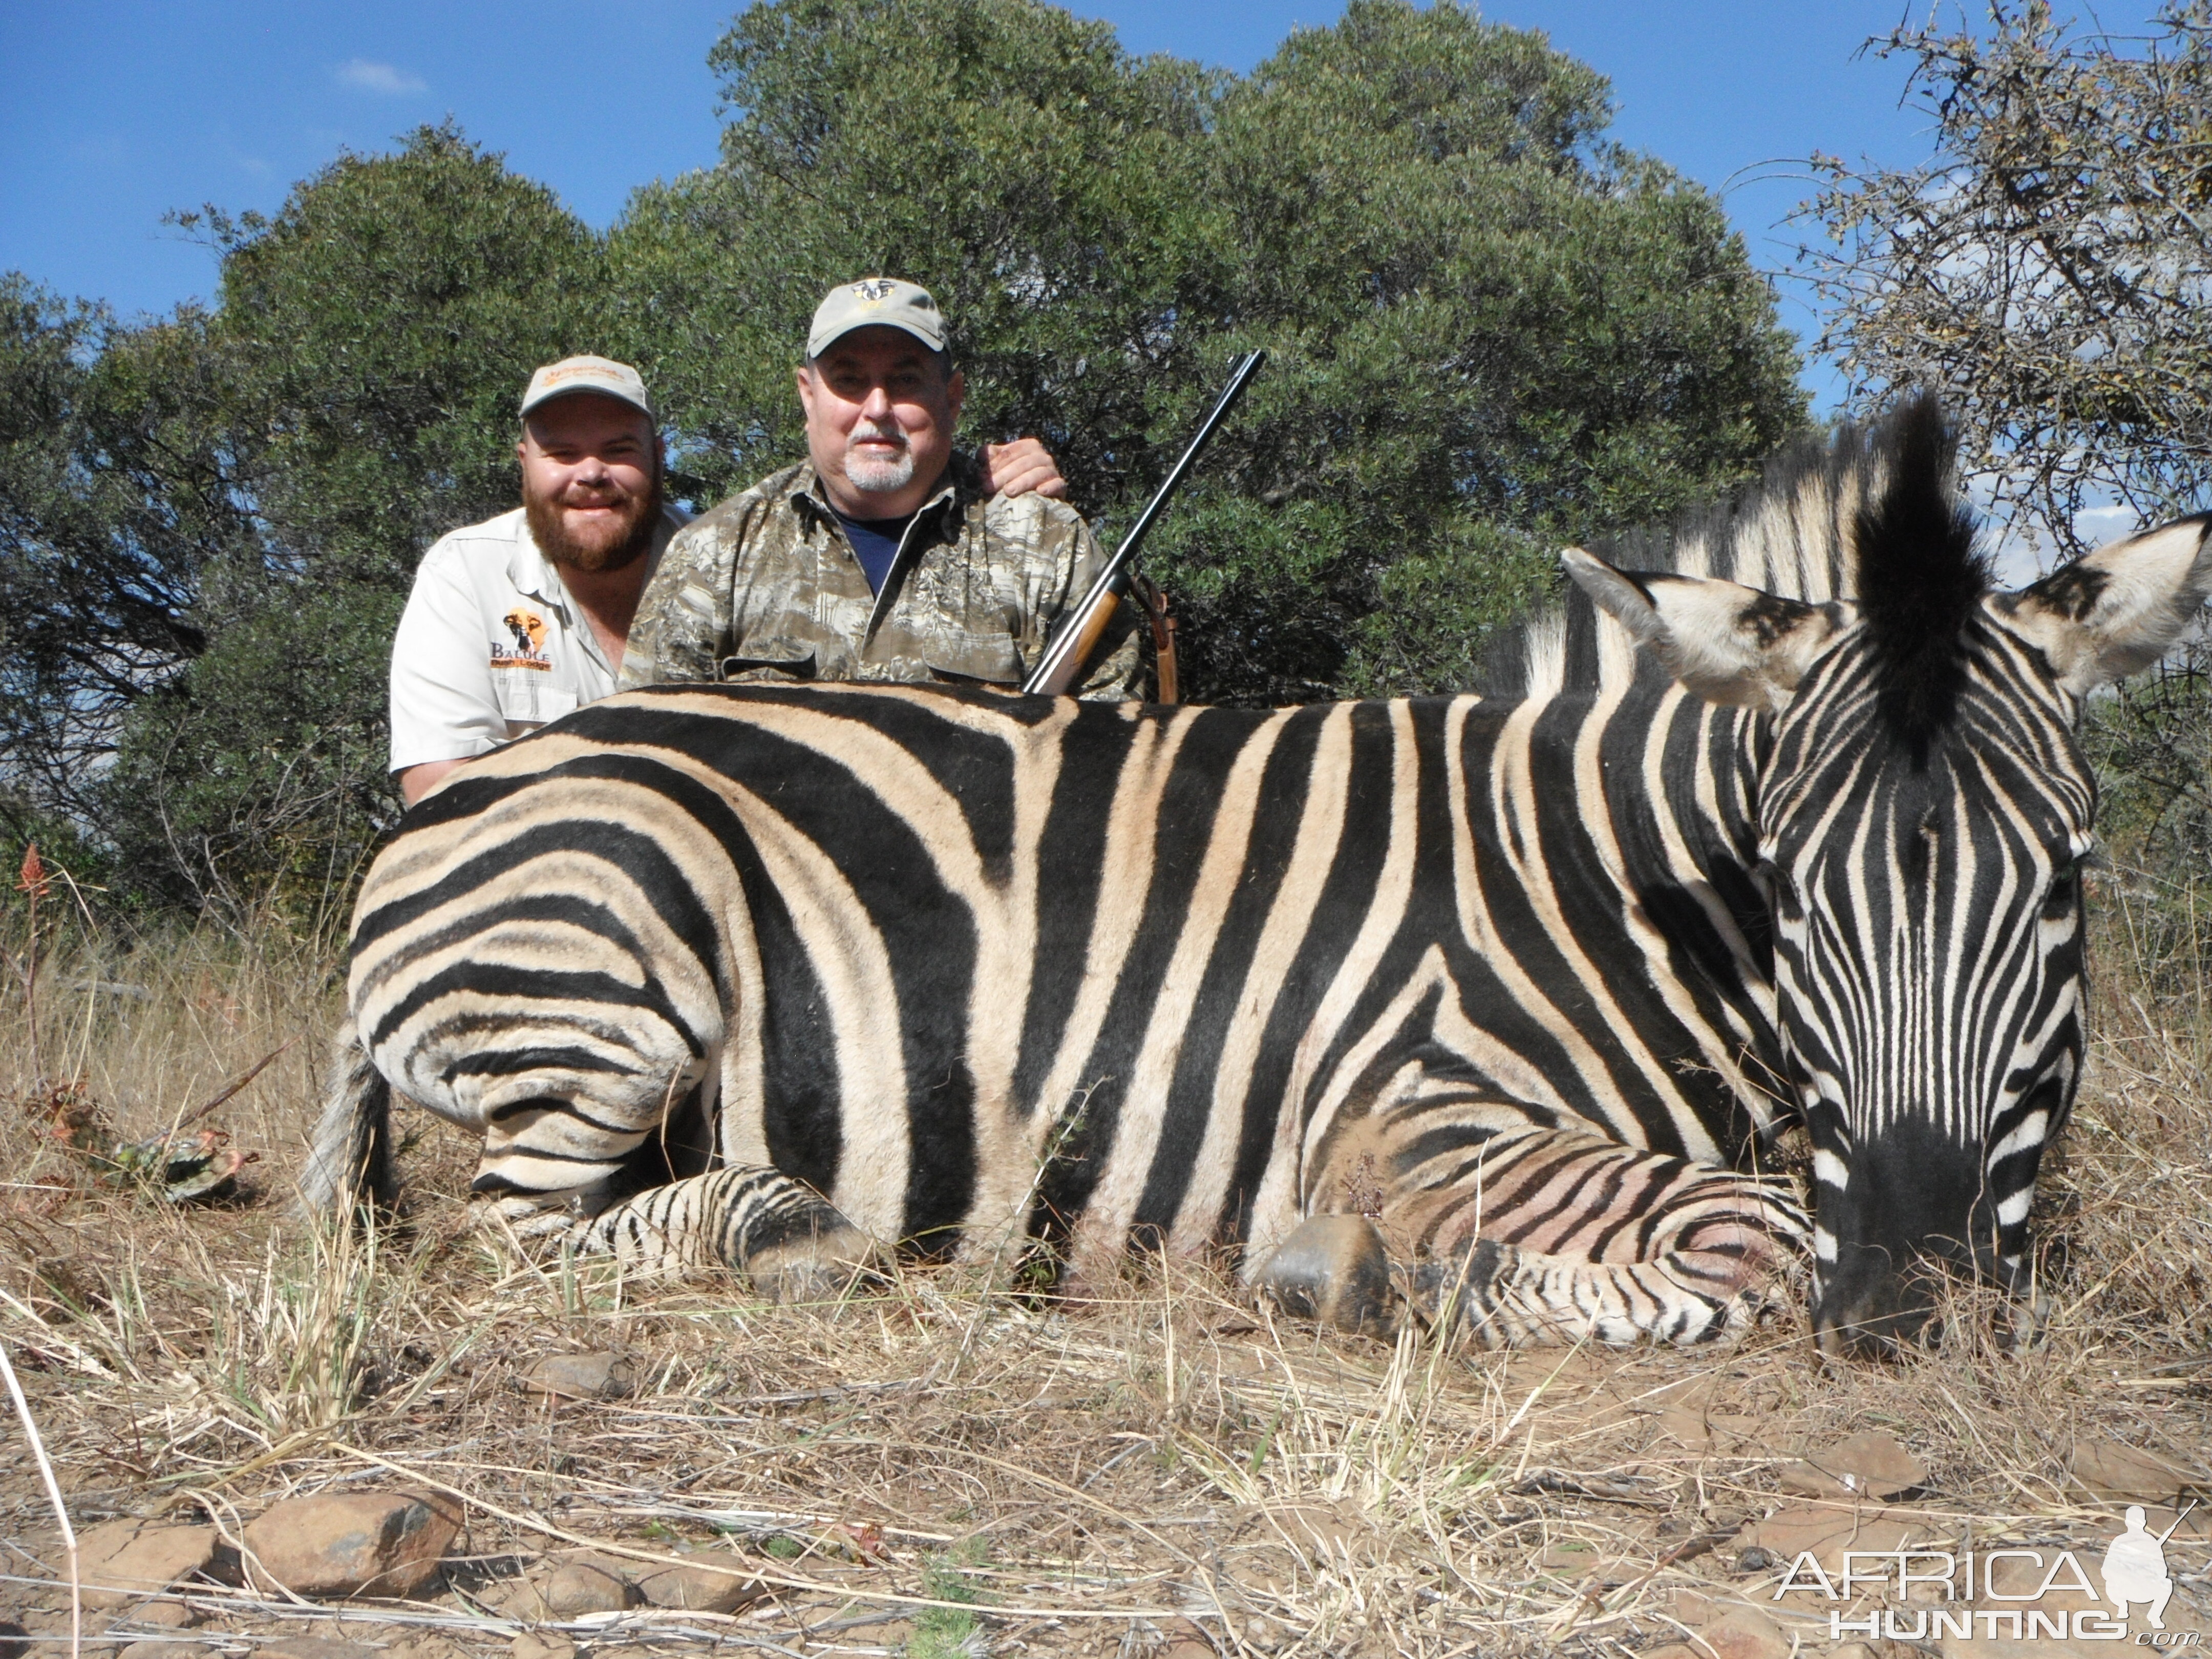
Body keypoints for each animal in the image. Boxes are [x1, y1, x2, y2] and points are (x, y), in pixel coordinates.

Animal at [307, 396, 2212, 1353]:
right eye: (1794, 885)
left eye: (2068, 880)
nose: (1910, 1297)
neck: (1604, 891)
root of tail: (462, 801)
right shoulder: (1403, 1110)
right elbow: (1734, 1234)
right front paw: (1364, 1280)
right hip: (618, 964)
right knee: (514, 1243)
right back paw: (789, 1235)